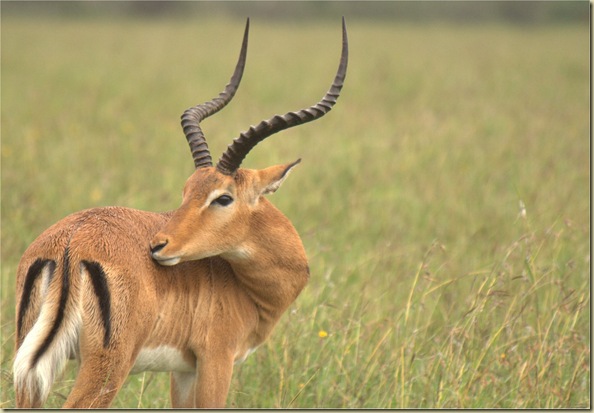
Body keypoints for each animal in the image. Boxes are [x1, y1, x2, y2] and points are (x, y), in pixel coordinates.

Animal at [13, 18, 348, 408]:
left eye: (221, 197)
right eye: (189, 191)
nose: (158, 246)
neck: (245, 286)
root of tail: (71, 241)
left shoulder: (184, 371)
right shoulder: (217, 359)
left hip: (29, 369)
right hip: (107, 366)